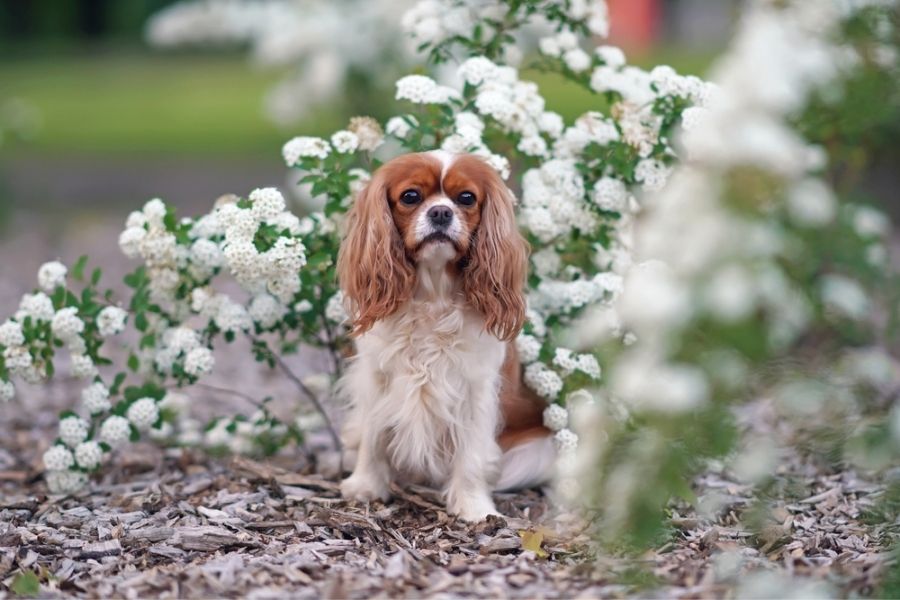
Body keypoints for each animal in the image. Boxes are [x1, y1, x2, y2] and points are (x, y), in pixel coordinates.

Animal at [338, 151, 556, 520]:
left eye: (466, 198)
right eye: (410, 196)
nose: (441, 212)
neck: (433, 293)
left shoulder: (475, 388)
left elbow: (471, 455)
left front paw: (474, 507)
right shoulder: (376, 378)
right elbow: (372, 437)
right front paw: (365, 486)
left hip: (539, 453)